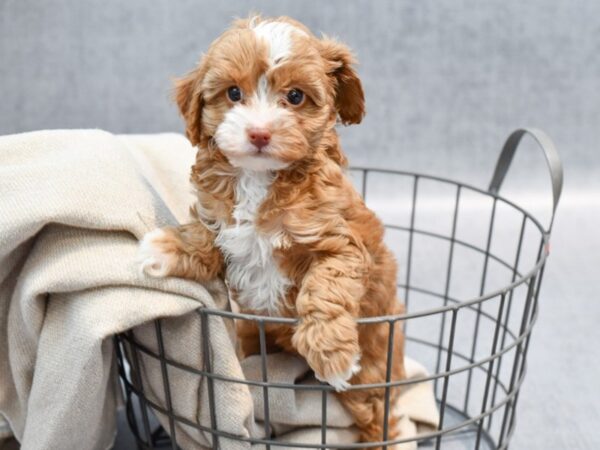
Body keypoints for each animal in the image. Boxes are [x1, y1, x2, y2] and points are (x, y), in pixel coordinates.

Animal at [139, 15, 406, 448]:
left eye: (295, 97)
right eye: (234, 93)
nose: (260, 133)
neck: (259, 180)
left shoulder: (341, 246)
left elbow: (324, 289)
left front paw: (331, 354)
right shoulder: (224, 226)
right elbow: (205, 238)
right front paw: (163, 247)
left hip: (373, 375)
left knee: (379, 416)